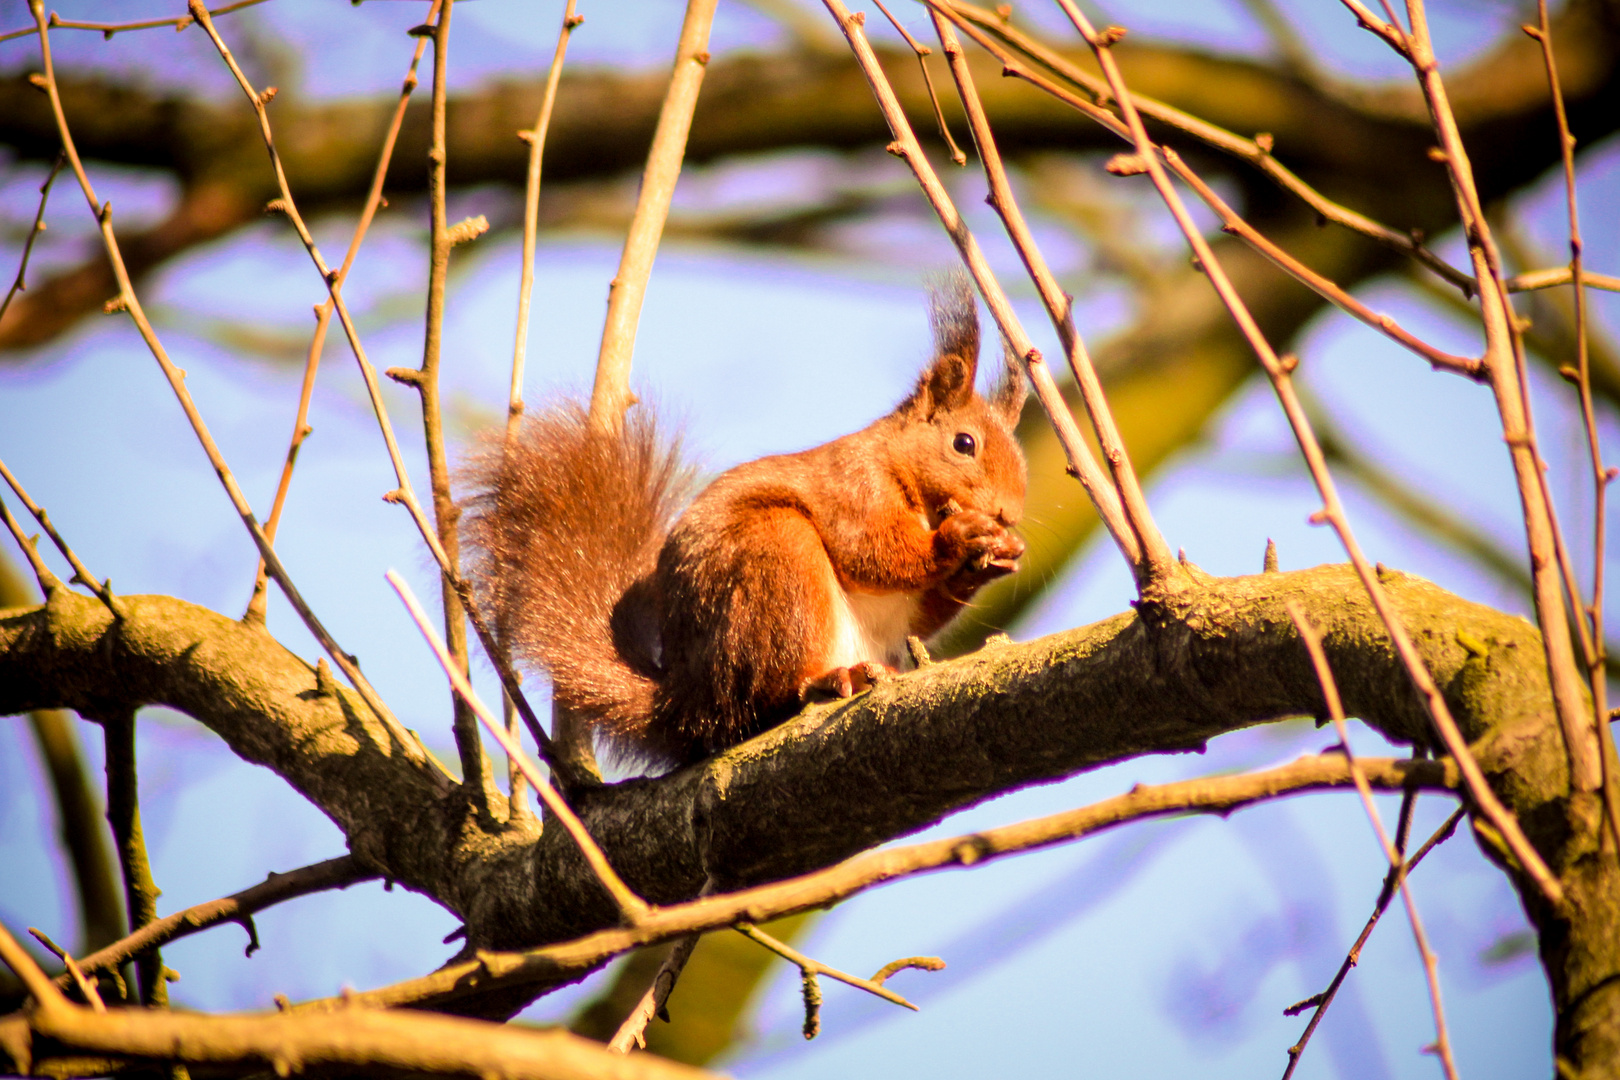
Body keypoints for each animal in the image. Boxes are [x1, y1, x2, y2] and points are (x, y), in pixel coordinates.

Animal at [460, 278, 1023, 767]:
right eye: (964, 443)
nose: (1009, 513)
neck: (900, 468)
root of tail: (689, 704)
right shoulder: (854, 486)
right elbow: (872, 552)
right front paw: (957, 539)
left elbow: (921, 614)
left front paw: (996, 558)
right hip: (776, 562)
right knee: (771, 694)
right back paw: (828, 678)